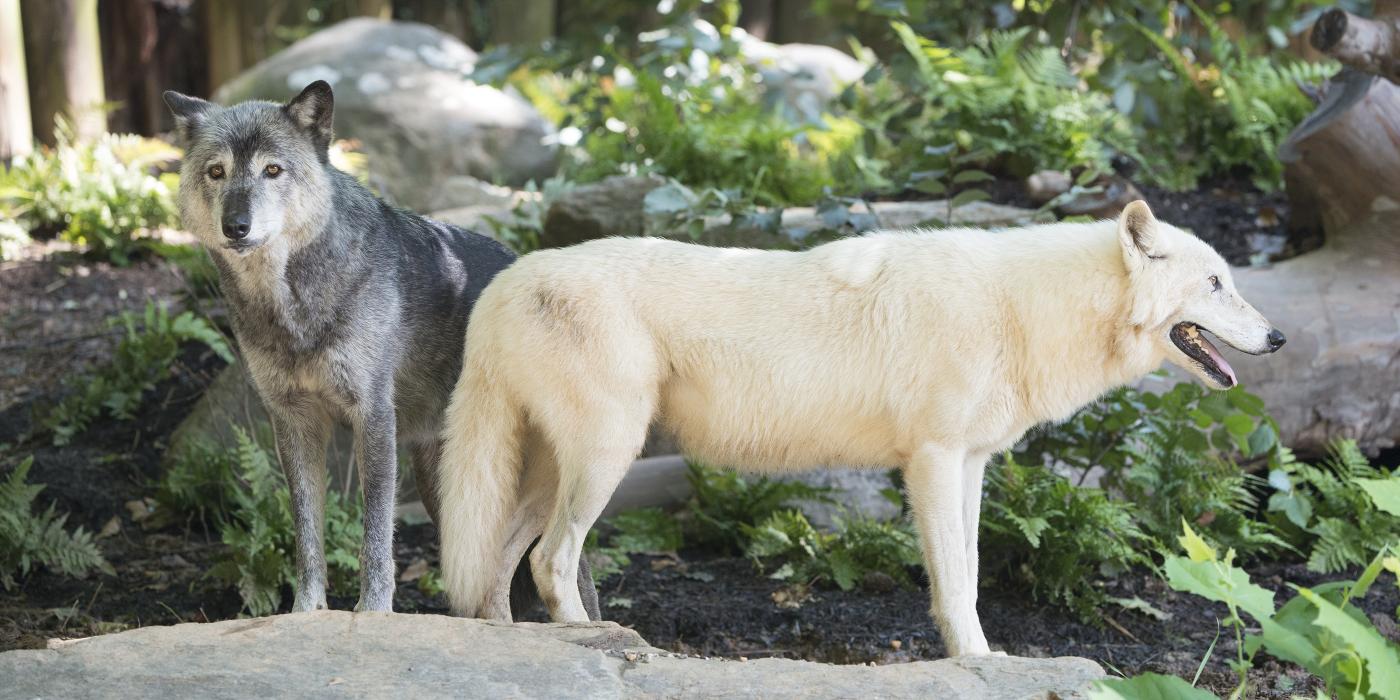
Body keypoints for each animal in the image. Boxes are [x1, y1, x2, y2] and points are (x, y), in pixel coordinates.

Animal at [163, 80, 602, 613]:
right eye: (216, 172)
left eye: (273, 170)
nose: (236, 225)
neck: (293, 308)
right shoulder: (294, 423)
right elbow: (307, 537)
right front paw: (306, 613)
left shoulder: (372, 416)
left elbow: (375, 536)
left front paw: (372, 613)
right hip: (448, 489)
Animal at [436, 198, 1282, 655]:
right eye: (1217, 282)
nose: (1277, 338)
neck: (1024, 308)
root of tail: (506, 281)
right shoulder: (932, 461)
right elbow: (955, 583)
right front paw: (975, 659)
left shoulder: (970, 464)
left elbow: (971, 569)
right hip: (606, 460)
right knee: (550, 562)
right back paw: (591, 640)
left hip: (555, 473)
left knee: (496, 564)